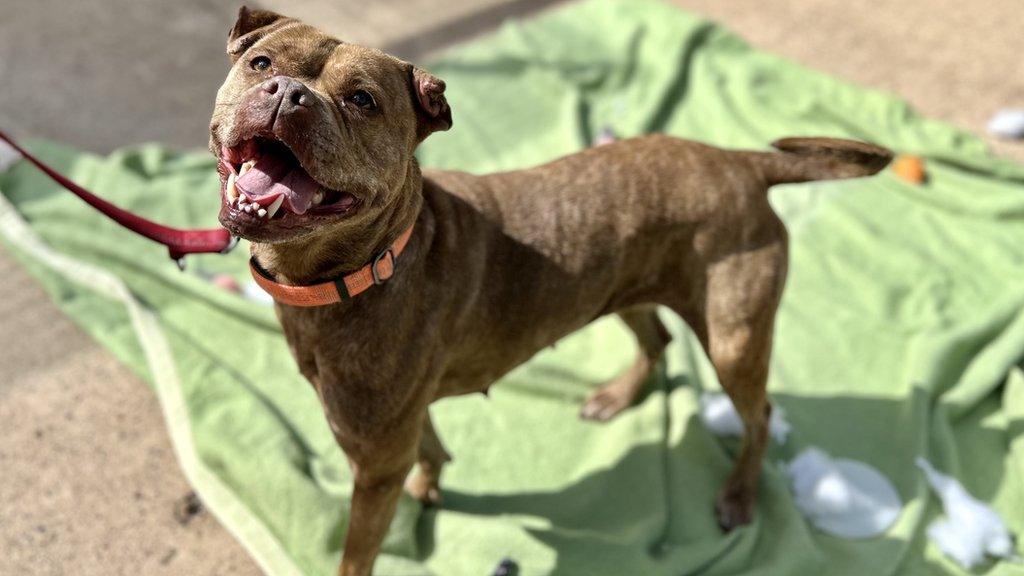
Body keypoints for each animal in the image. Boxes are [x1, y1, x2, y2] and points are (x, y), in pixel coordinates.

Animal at [211, 6, 892, 569]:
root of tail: (741, 162)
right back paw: (617, 398)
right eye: (261, 63)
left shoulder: (373, 462)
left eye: (362, 100)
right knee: (660, 338)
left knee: (759, 414)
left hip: (733, 341)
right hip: (625, 288)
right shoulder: (398, 427)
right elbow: (428, 446)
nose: (289, 94)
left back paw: (740, 495)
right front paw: (431, 483)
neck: (366, 267)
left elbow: (357, 552)